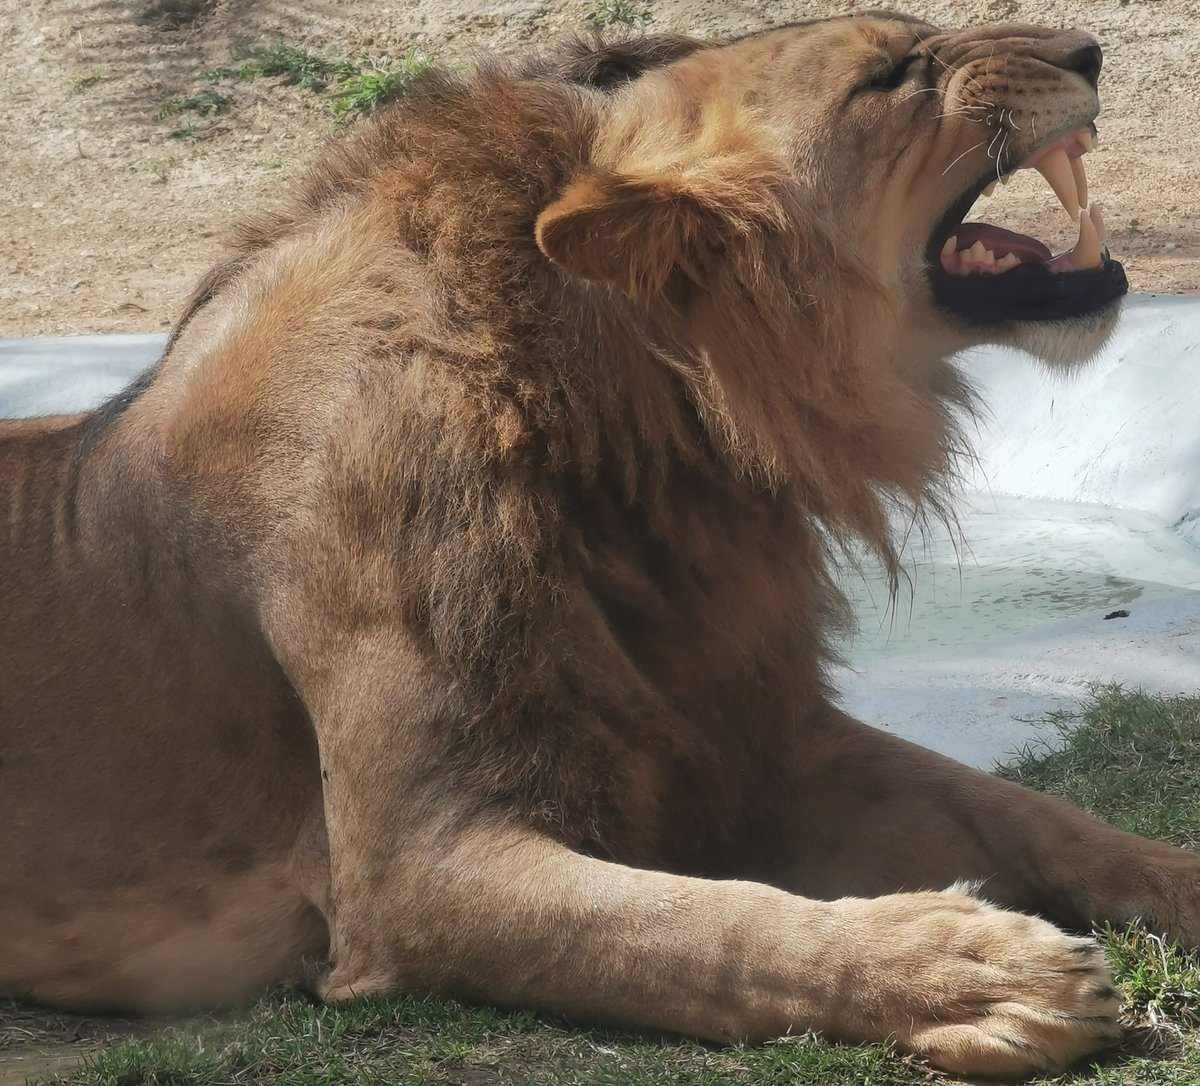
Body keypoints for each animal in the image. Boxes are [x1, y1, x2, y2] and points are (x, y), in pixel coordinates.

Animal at [2, 14, 1197, 1079]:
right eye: (893, 73)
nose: (1091, 50)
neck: (659, 449)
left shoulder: (762, 740)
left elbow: (1039, 815)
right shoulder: (414, 876)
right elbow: (712, 932)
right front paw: (977, 972)